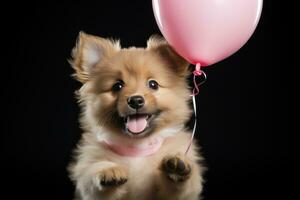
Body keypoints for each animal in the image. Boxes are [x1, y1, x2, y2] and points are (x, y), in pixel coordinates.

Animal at [67, 32, 204, 199]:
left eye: (153, 84)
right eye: (117, 86)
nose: (136, 100)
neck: (138, 148)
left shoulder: (178, 194)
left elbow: (181, 187)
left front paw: (176, 168)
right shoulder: (89, 178)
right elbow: (93, 170)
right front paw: (109, 170)